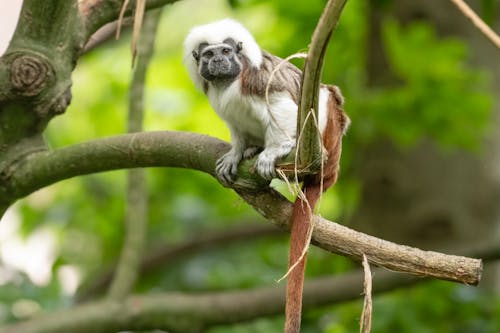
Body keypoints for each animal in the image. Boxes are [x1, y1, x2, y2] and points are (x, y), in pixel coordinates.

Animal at [183, 18, 348, 332]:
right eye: (209, 55)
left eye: (225, 51)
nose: (219, 61)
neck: (229, 83)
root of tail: (330, 171)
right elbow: (235, 126)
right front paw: (238, 152)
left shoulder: (258, 80)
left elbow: (282, 104)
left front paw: (275, 150)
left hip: (327, 133)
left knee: (321, 95)